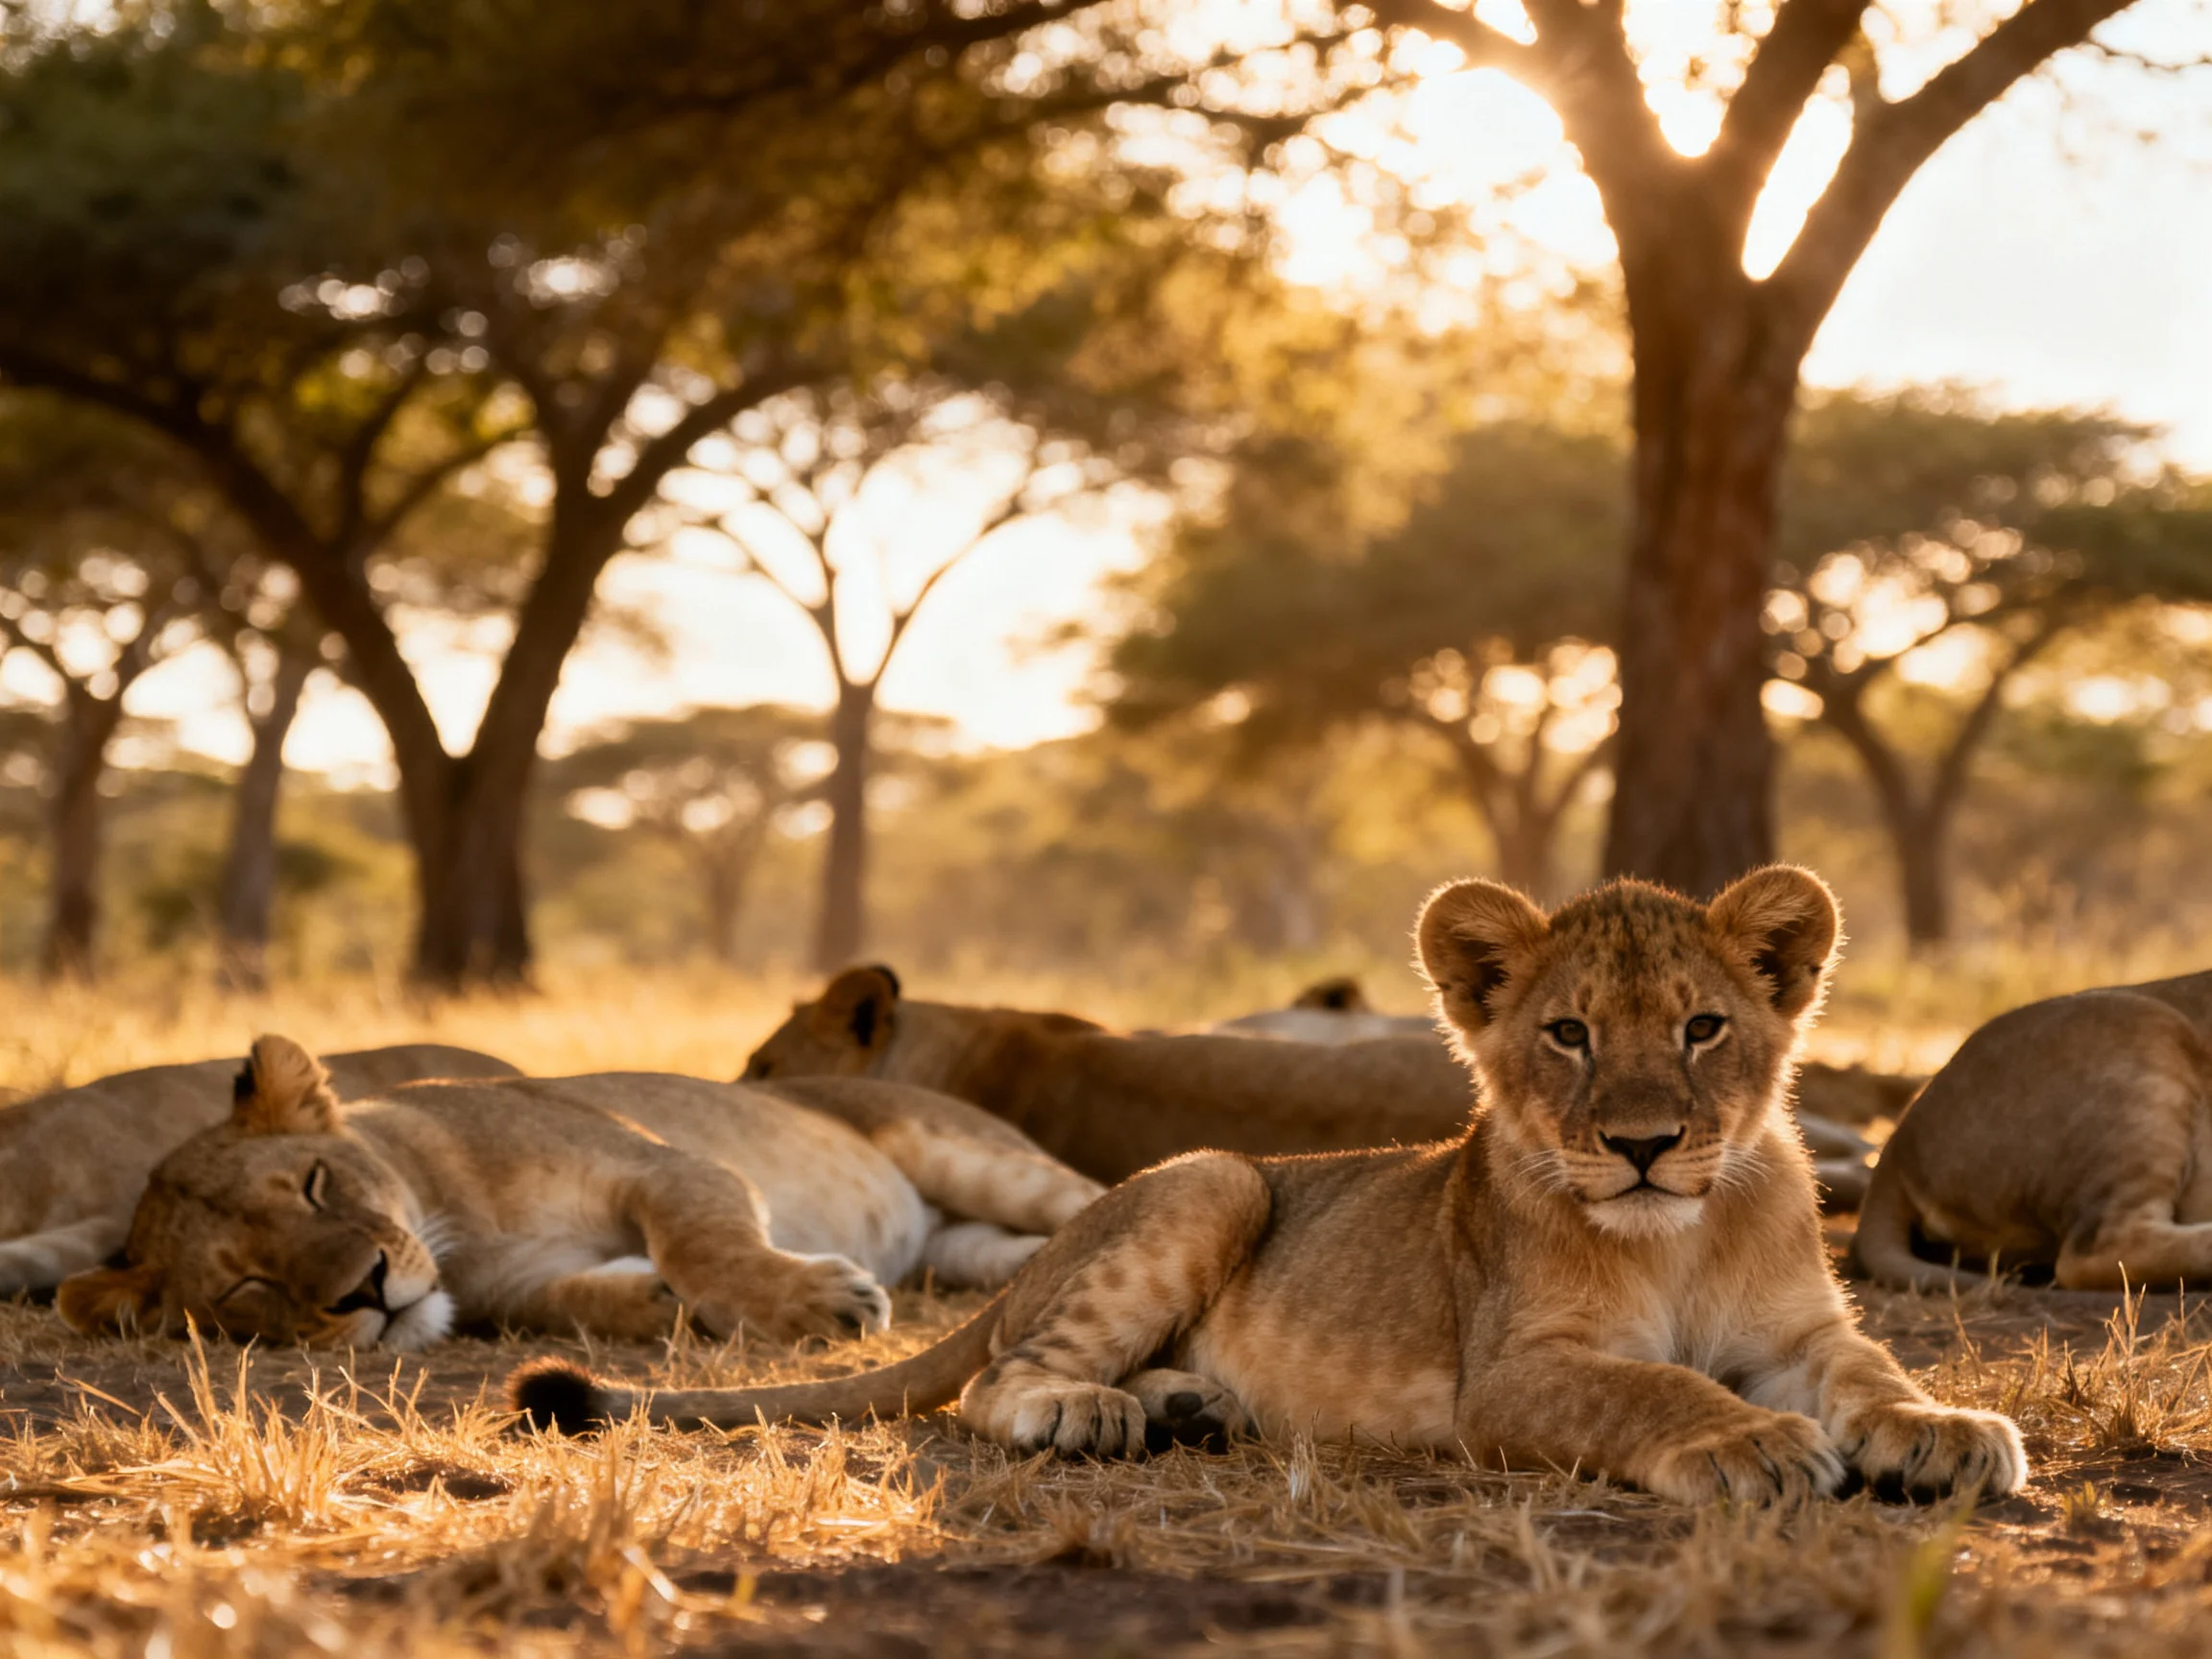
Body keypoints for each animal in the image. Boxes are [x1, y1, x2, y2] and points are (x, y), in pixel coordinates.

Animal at [56, 1036, 1105, 1349]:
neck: (455, 1215)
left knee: (1089, 1193)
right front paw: (653, 1302)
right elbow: (571, 1302)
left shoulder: (666, 1165)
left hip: (972, 1156)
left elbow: (703, 1239)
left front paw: (818, 1301)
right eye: (249, 1287)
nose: (365, 1292)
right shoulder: (513, 1282)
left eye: (314, 1186)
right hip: (966, 1244)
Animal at [520, 868, 2025, 1506]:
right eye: (1570, 1034)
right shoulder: (1513, 1376)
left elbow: (1877, 1375)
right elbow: (1655, 1390)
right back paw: (1095, 1414)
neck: (1682, 1234)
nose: (1646, 1143)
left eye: (1705, 1028)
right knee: (995, 1380)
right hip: (1210, 1184)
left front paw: (1944, 1432)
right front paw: (1753, 1445)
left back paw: (1191, 1407)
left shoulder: (1805, 1331)